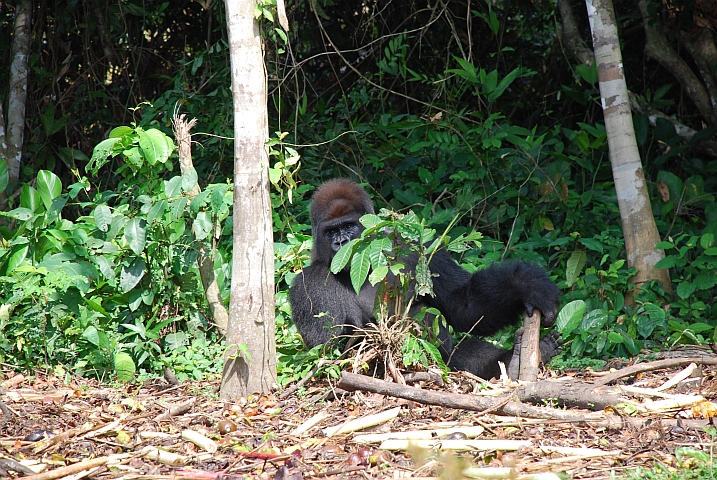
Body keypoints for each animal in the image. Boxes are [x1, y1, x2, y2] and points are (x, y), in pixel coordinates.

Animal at [288, 177, 564, 378]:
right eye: (331, 231)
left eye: (348, 226)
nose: (342, 243)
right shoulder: (307, 284)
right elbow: (328, 353)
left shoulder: (419, 249)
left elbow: (463, 307)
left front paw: (527, 286)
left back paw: (518, 359)